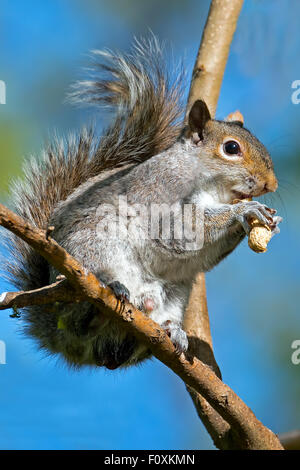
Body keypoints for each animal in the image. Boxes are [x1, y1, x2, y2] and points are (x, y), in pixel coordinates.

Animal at [2, 37, 282, 370]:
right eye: (231, 148)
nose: (271, 185)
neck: (208, 185)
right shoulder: (159, 190)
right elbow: (180, 231)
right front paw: (244, 210)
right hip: (91, 248)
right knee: (80, 315)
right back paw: (104, 295)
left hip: (175, 293)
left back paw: (170, 331)